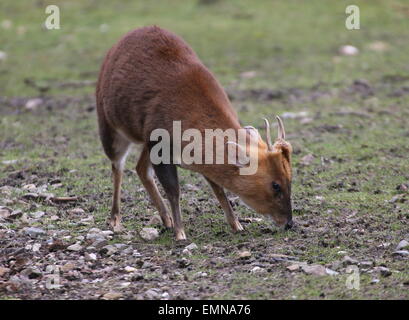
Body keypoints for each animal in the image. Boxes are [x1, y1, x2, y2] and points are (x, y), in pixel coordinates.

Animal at [95, 25, 294, 240]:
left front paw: (236, 225)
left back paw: (166, 220)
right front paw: (180, 233)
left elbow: (218, 188)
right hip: (109, 127)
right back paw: (115, 219)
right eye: (275, 185)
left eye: (290, 179)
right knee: (118, 166)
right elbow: (174, 190)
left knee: (140, 169)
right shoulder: (160, 145)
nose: (289, 223)